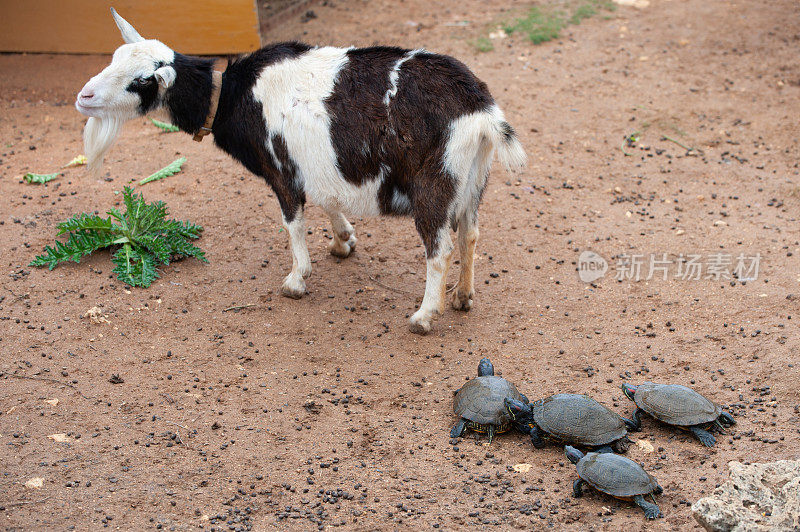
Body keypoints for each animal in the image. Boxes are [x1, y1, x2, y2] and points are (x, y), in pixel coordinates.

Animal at [75, 7, 524, 332]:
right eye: (113, 59)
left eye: (140, 80)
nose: (84, 96)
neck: (232, 96)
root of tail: (480, 111)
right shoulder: (316, 164)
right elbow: (328, 198)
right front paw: (343, 241)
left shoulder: (281, 170)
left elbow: (293, 222)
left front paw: (296, 280)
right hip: (472, 180)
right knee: (469, 233)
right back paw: (462, 297)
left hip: (436, 182)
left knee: (439, 248)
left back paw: (424, 316)